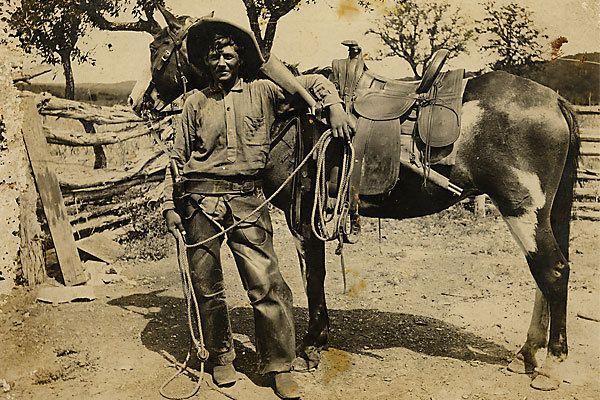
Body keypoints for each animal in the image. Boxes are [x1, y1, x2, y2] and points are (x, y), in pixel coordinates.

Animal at [127, 7, 580, 392]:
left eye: (158, 49)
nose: (136, 100)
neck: (295, 112)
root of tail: (555, 99)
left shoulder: (304, 218)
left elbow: (313, 278)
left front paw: (311, 346)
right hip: (543, 212)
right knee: (545, 275)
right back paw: (526, 355)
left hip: (522, 209)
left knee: (553, 272)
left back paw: (551, 366)